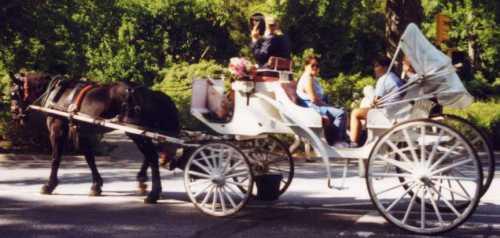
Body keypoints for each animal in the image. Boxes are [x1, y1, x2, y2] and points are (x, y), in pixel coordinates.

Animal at [9, 72, 180, 203]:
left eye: (14, 93)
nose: (15, 114)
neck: (57, 95)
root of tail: (151, 93)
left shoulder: (57, 130)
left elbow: (56, 158)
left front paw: (49, 185)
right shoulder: (82, 132)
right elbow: (89, 158)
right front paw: (96, 186)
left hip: (135, 131)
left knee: (152, 156)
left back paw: (153, 193)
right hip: (141, 131)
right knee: (151, 155)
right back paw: (144, 181)